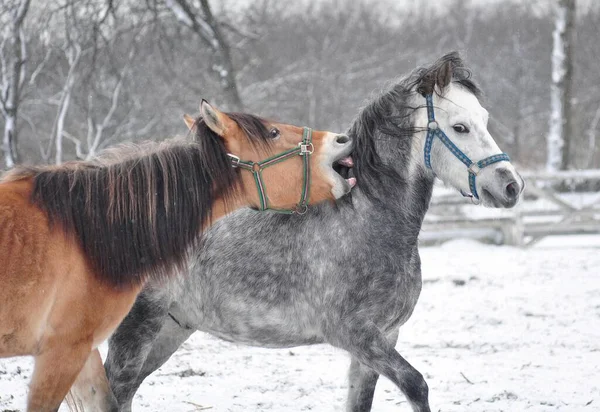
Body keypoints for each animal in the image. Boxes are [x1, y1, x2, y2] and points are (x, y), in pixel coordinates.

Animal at [99, 52, 524, 412]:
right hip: (137, 327)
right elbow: (416, 385)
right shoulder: (356, 336)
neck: (367, 224)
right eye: (459, 127)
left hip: (170, 328)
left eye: (484, 120)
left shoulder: (384, 339)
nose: (511, 186)